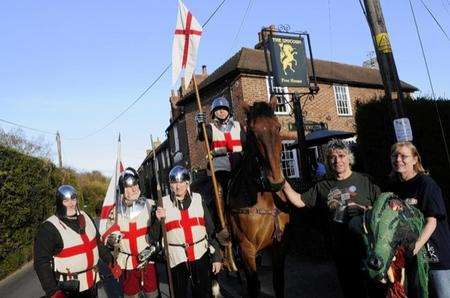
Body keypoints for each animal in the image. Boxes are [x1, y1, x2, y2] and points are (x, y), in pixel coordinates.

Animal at [227, 96, 290, 296]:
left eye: (278, 127)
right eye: (253, 132)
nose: (276, 182)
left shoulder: (279, 246)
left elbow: (279, 282)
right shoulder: (246, 248)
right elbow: (253, 285)